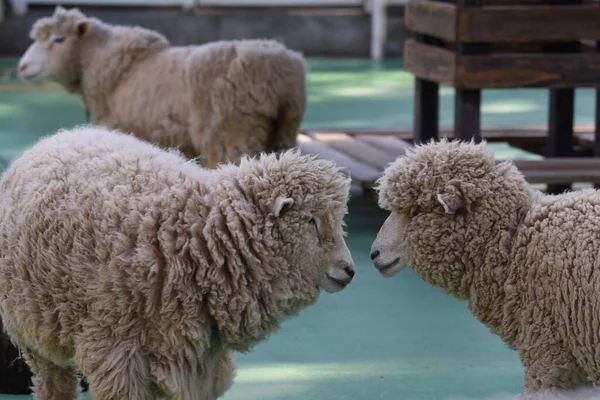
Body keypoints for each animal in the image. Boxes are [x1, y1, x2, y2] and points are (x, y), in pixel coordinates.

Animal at [0, 125, 356, 400]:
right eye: (311, 220)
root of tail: (57, 137)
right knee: (53, 382)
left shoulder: (197, 359)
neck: (200, 235)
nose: (349, 270)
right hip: (37, 332)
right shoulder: (117, 353)